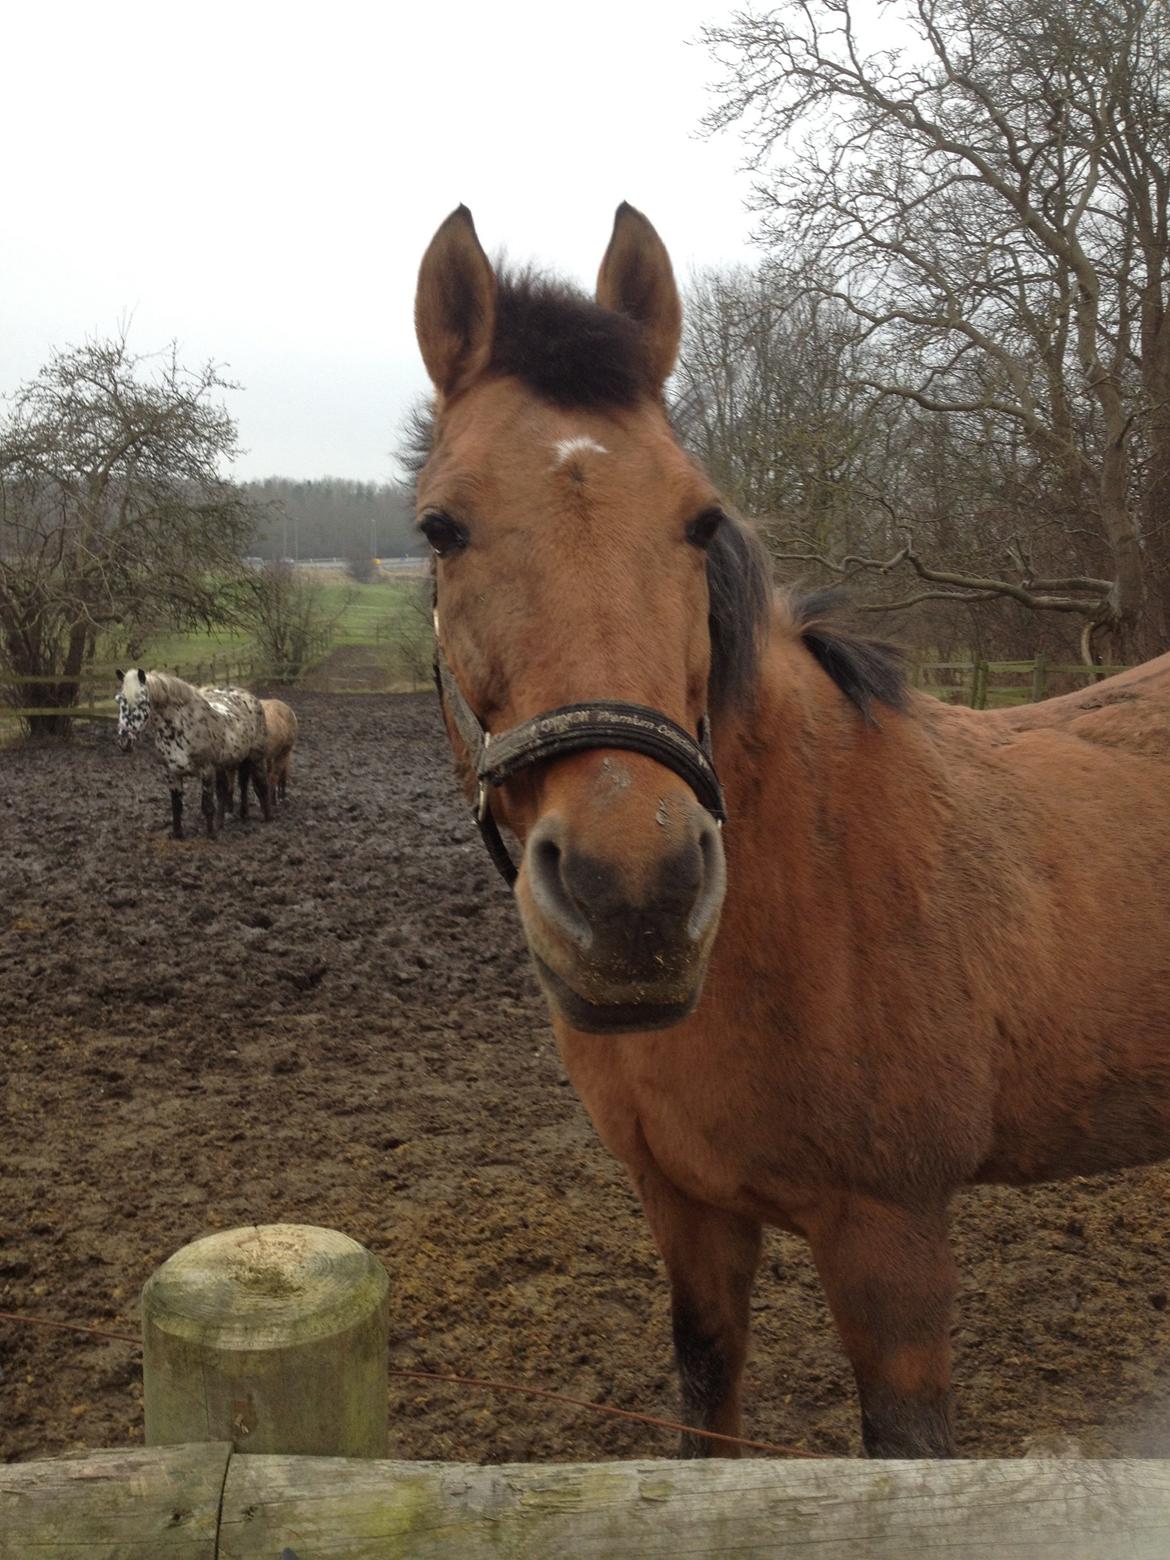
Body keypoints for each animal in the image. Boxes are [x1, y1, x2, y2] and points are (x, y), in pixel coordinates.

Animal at [115, 670, 269, 842]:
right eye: (119, 700)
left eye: (142, 702)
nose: (124, 741)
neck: (180, 727)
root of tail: (249, 696)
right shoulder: (172, 773)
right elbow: (176, 806)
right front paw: (178, 834)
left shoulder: (207, 771)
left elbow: (207, 806)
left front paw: (211, 835)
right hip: (229, 762)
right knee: (233, 787)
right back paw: (230, 819)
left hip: (256, 757)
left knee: (261, 784)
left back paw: (267, 818)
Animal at [408, 201, 1170, 1453]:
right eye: (441, 528)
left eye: (699, 518)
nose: (636, 894)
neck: (806, 890)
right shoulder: (688, 1212)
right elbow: (706, 1411)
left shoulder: (891, 1240)